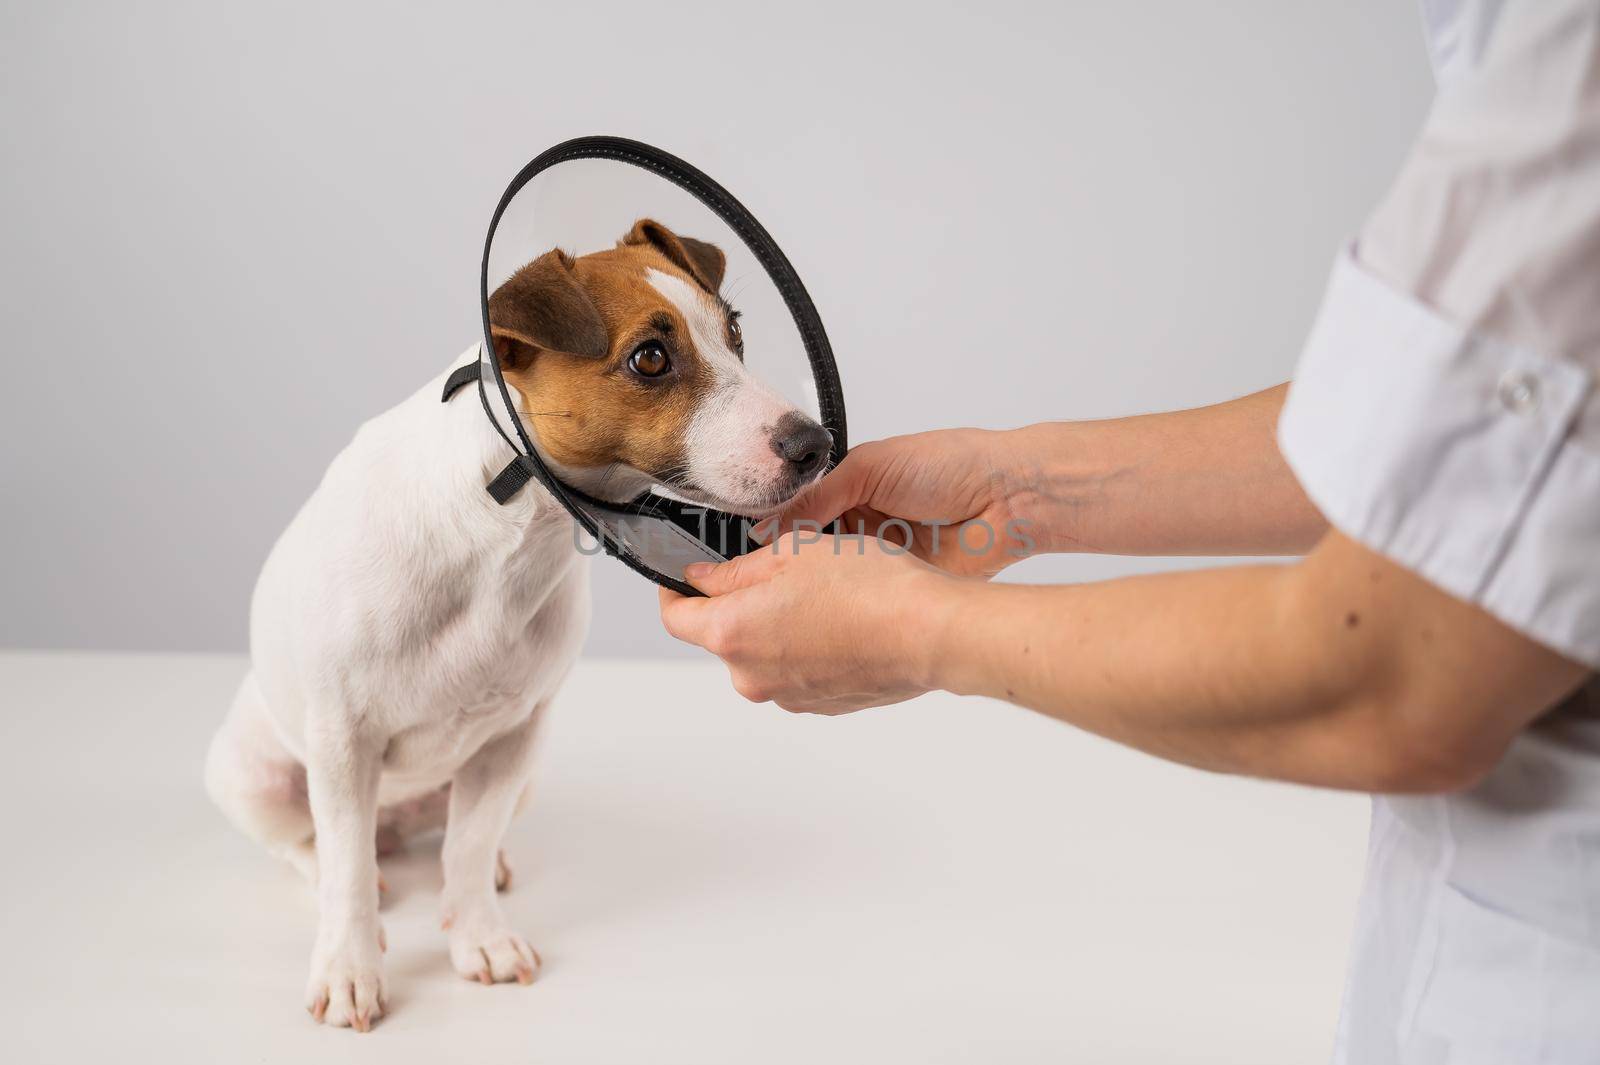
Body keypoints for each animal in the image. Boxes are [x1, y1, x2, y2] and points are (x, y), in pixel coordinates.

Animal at [204, 217, 832, 1029]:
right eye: (651, 358)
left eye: (735, 334)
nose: (815, 445)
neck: (508, 524)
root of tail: (397, 820)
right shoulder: (342, 742)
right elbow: (344, 868)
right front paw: (349, 967)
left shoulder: (510, 740)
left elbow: (468, 848)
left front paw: (479, 937)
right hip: (255, 775)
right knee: (316, 847)